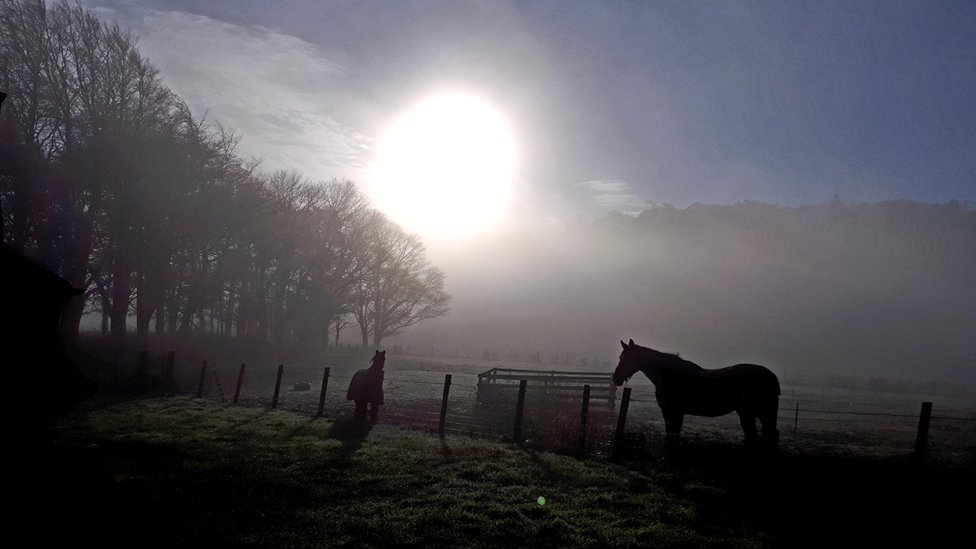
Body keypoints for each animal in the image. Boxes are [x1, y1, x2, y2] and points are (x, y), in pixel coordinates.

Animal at [612, 338, 780, 446]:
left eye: (626, 358)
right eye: (620, 357)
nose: (616, 379)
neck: (670, 375)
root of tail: (771, 376)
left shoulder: (675, 412)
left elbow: (673, 434)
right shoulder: (668, 412)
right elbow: (670, 432)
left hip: (755, 413)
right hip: (750, 414)